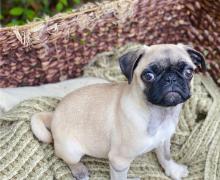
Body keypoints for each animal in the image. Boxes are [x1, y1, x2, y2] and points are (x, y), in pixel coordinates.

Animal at [31, 44, 206, 180]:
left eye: (189, 72)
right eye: (148, 76)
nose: (171, 79)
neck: (159, 112)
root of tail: (53, 115)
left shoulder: (164, 141)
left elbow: (166, 157)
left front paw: (173, 170)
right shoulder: (119, 161)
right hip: (71, 151)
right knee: (67, 159)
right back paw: (79, 170)